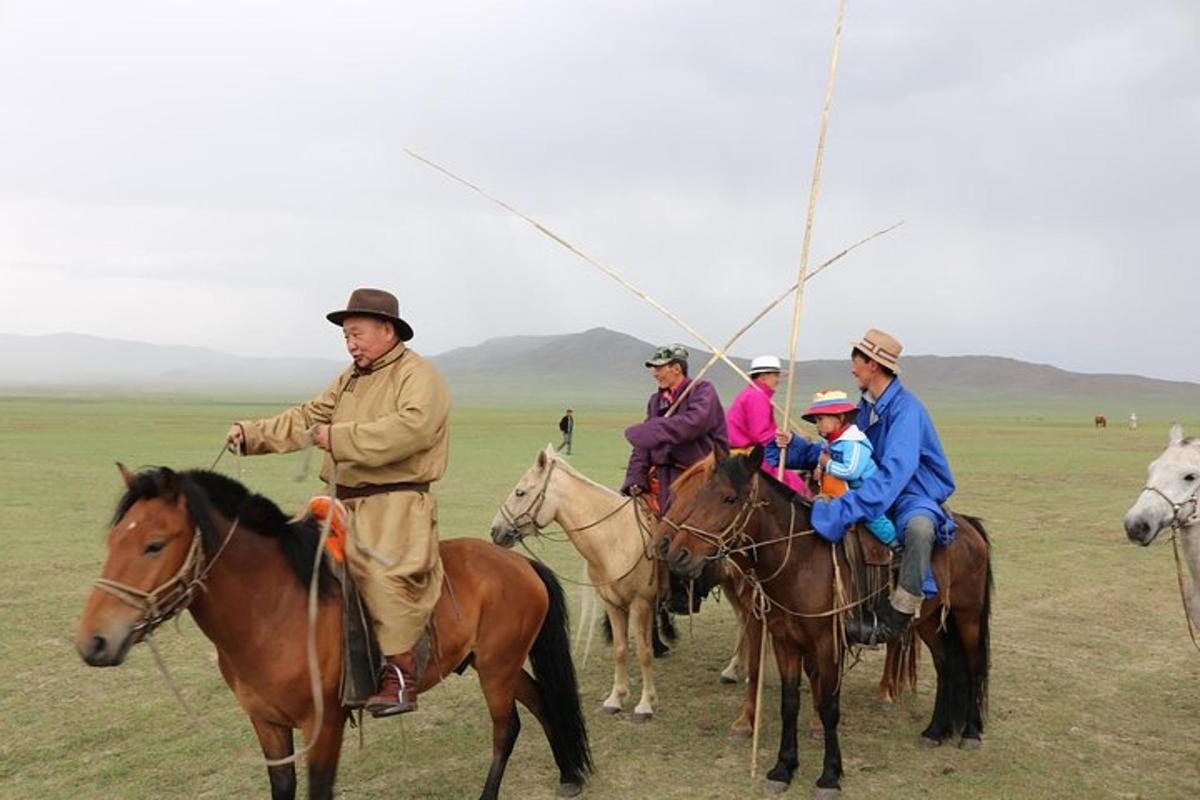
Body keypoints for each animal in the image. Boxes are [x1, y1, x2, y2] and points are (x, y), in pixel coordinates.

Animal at [75, 465, 590, 796]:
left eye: (154, 544)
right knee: (541, 700)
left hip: (497, 668)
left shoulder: (323, 727)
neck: (273, 610)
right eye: (113, 539)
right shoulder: (267, 724)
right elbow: (282, 789)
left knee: (506, 728)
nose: (93, 642)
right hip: (491, 663)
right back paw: (569, 775)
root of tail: (520, 563)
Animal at [662, 450, 988, 796]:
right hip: (928, 620)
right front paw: (783, 768)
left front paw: (830, 774)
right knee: (945, 666)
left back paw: (970, 731)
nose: (678, 554)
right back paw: (936, 730)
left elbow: (830, 708)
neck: (801, 562)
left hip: (968, 615)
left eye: (729, 498)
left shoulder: (828, 645)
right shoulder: (786, 642)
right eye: (699, 494)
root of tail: (968, 525)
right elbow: (789, 703)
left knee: (972, 665)